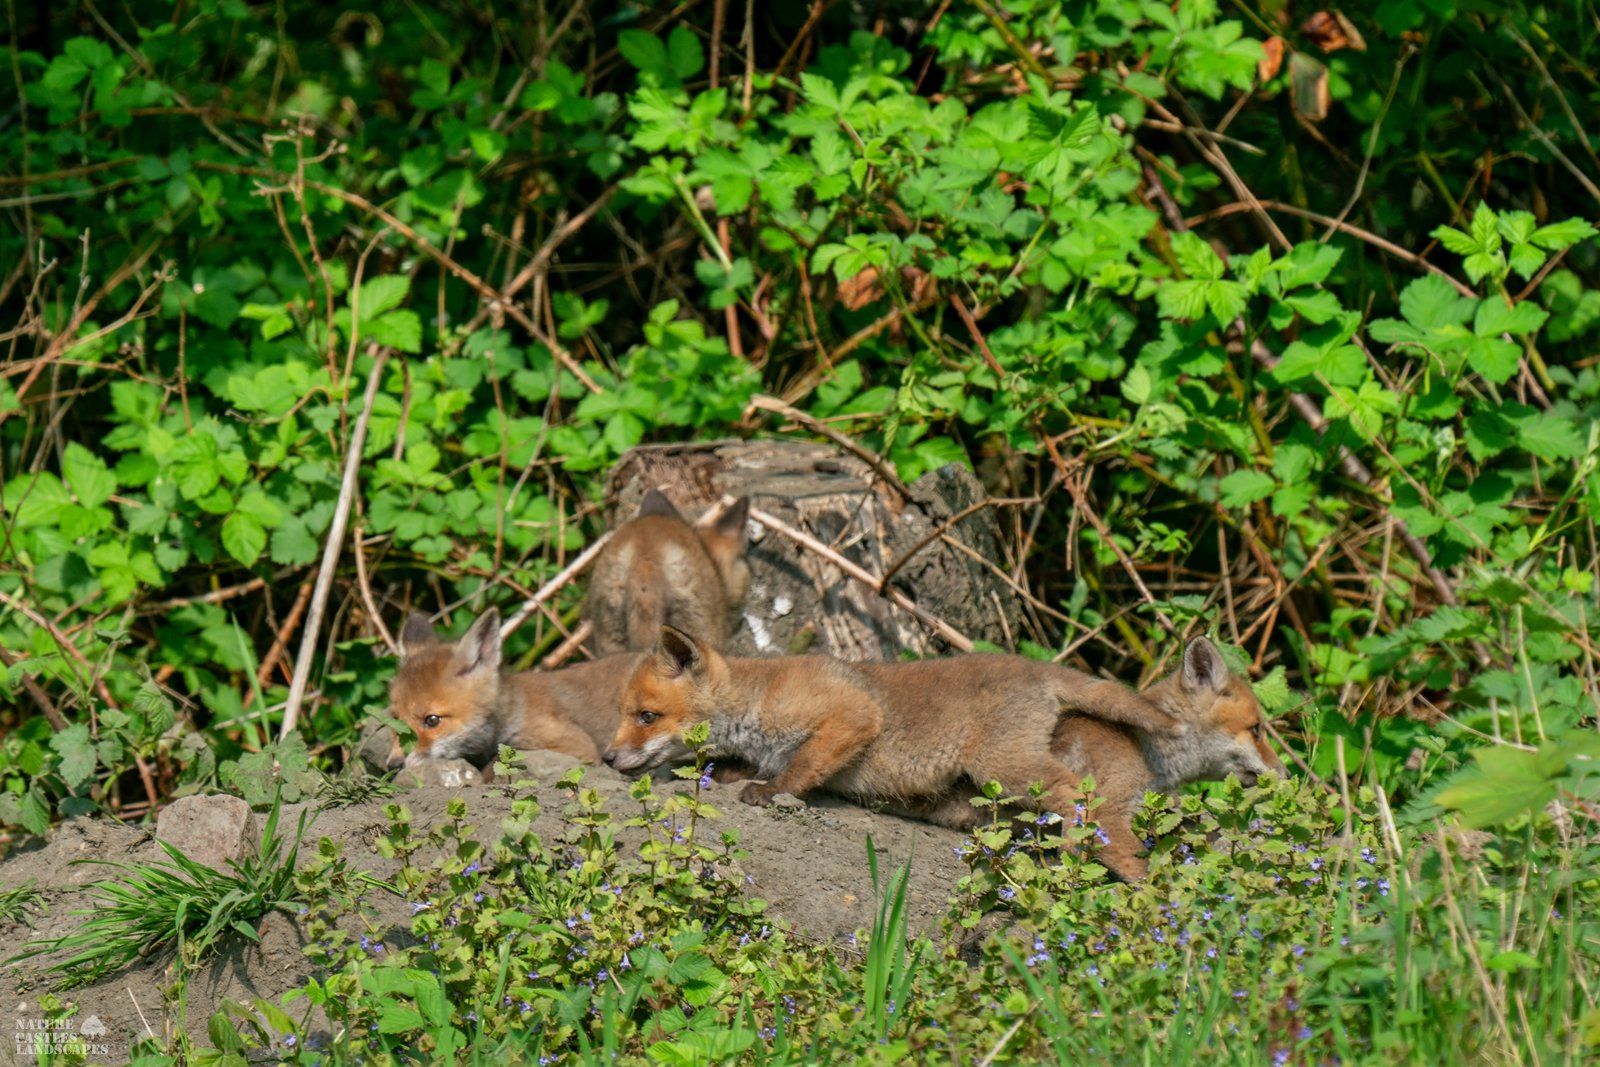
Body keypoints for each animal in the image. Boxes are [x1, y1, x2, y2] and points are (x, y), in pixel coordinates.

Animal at [601, 627, 1197, 874]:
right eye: (623, 713)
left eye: (646, 716)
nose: (606, 758)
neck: (756, 699)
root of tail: (1037, 667)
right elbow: (736, 764)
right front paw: (725, 773)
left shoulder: (852, 716)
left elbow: (802, 766)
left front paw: (771, 793)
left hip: (1004, 766)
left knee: (1083, 801)